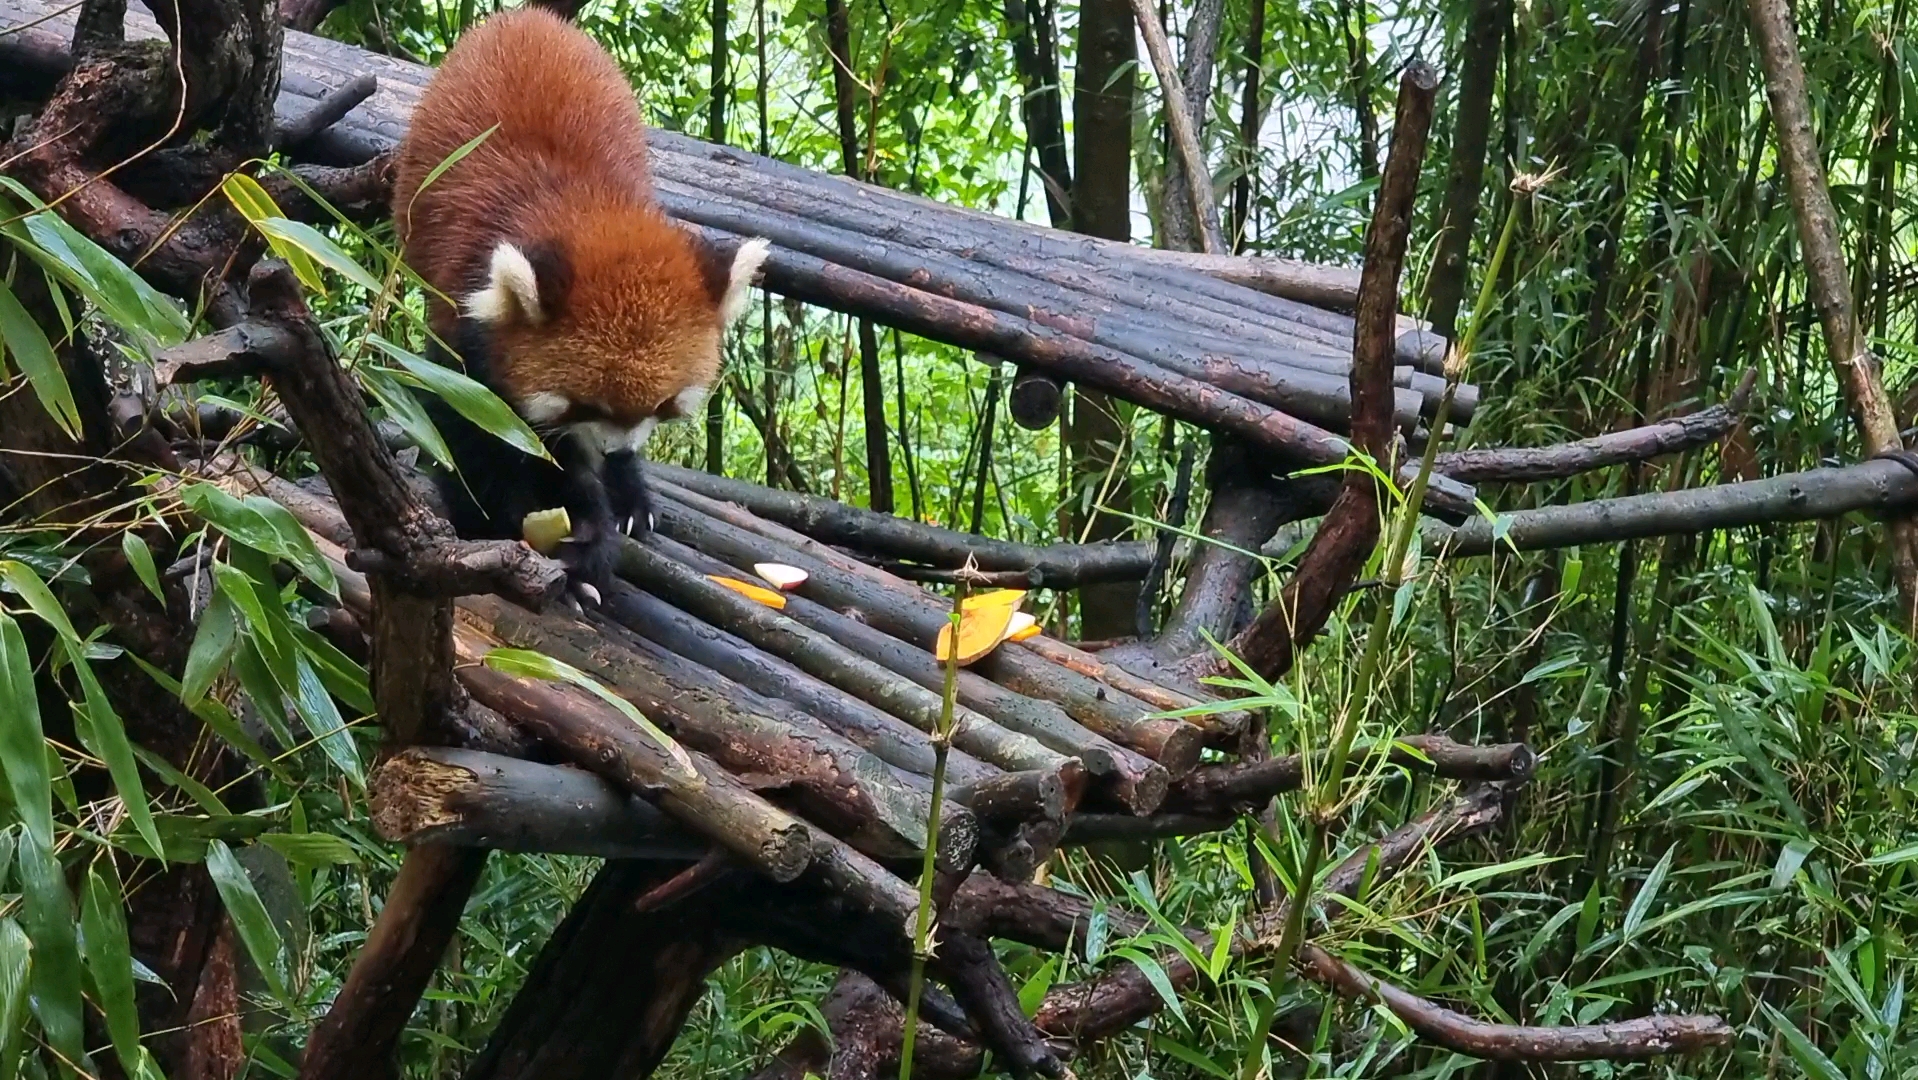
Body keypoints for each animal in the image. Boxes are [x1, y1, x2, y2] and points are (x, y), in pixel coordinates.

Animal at [389, 4, 763, 606]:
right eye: (585, 404)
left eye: (664, 405)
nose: (614, 451)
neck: (584, 207)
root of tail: (529, 19)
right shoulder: (462, 316)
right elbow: (474, 434)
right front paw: (498, 524)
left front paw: (607, 510)